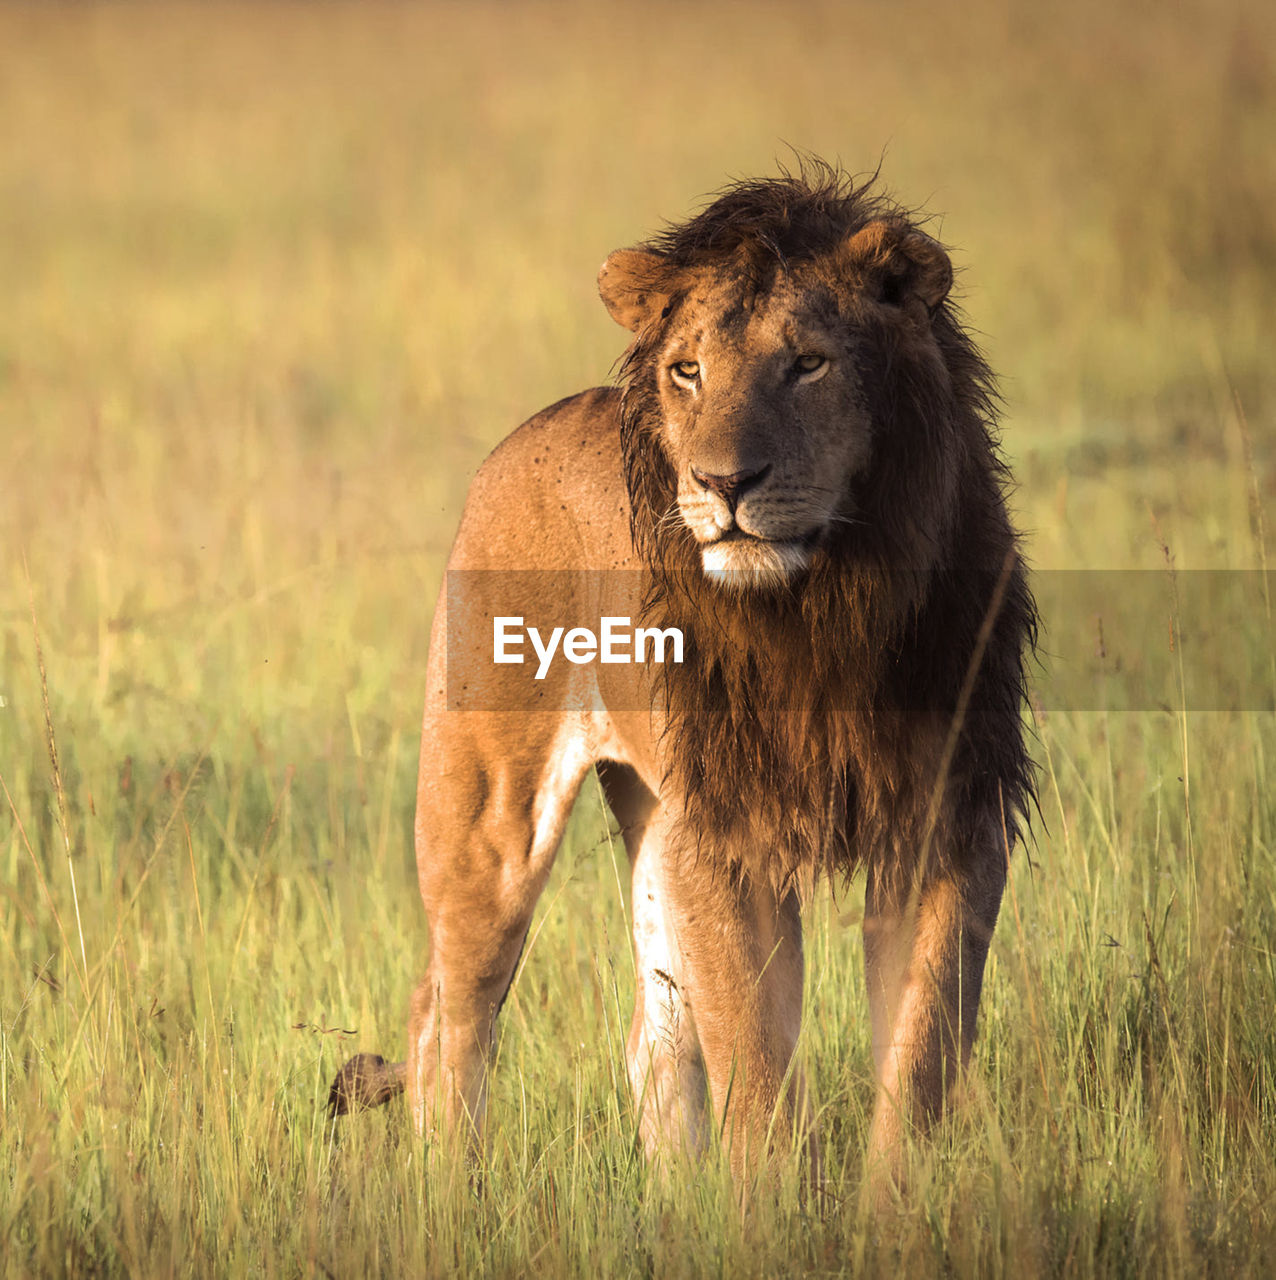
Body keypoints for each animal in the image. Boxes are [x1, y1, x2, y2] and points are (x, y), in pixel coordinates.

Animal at [330, 160, 1034, 1187]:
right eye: (687, 370)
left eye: (808, 364)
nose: (722, 484)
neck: (824, 609)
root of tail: (520, 438)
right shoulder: (731, 835)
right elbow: (757, 1057)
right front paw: (771, 1205)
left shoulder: (949, 816)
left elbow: (922, 1047)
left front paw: (894, 1207)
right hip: (489, 815)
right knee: (448, 1008)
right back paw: (448, 1190)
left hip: (658, 816)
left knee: (651, 1030)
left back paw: (669, 1194)